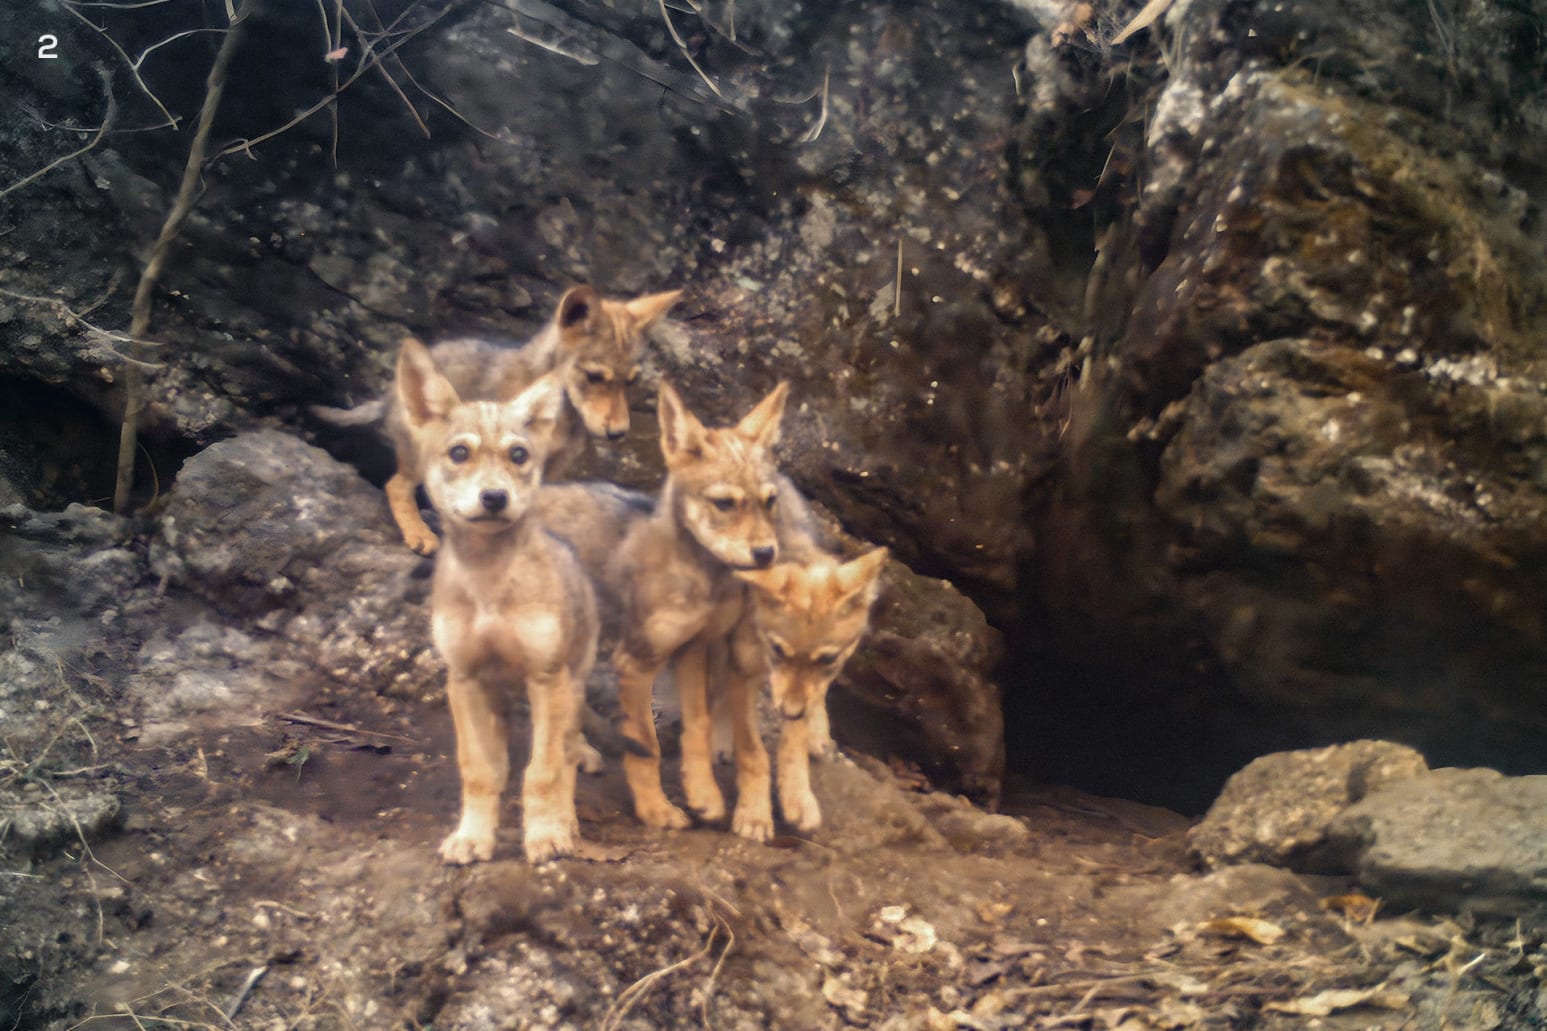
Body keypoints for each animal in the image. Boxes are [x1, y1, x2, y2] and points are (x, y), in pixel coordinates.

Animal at [317, 284, 680, 555]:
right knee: (396, 486)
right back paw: (419, 533)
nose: (619, 433)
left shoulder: (548, 468)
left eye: (630, 382)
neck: (563, 415)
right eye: (594, 377)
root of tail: (389, 395)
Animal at [395, 336, 598, 865]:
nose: (494, 498)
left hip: (571, 687)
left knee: (567, 756)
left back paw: (568, 824)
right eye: (459, 452)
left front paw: (545, 836)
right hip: (499, 699)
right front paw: (472, 837)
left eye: (519, 455)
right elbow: (480, 771)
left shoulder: (547, 680)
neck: (488, 583)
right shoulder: (464, 681)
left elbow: (543, 772)